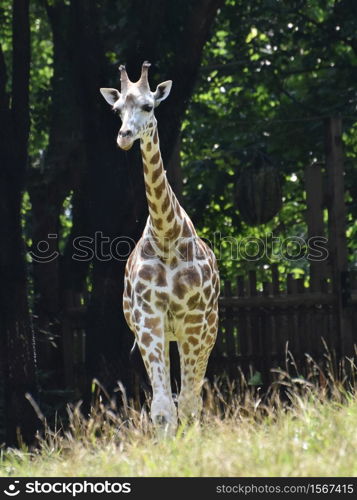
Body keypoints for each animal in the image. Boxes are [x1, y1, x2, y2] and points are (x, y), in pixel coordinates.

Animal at [98, 60, 218, 432]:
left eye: (148, 106)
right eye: (117, 110)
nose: (124, 137)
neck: (167, 234)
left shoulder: (193, 320)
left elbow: (189, 403)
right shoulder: (148, 318)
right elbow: (163, 407)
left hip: (207, 330)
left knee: (195, 395)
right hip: (165, 334)